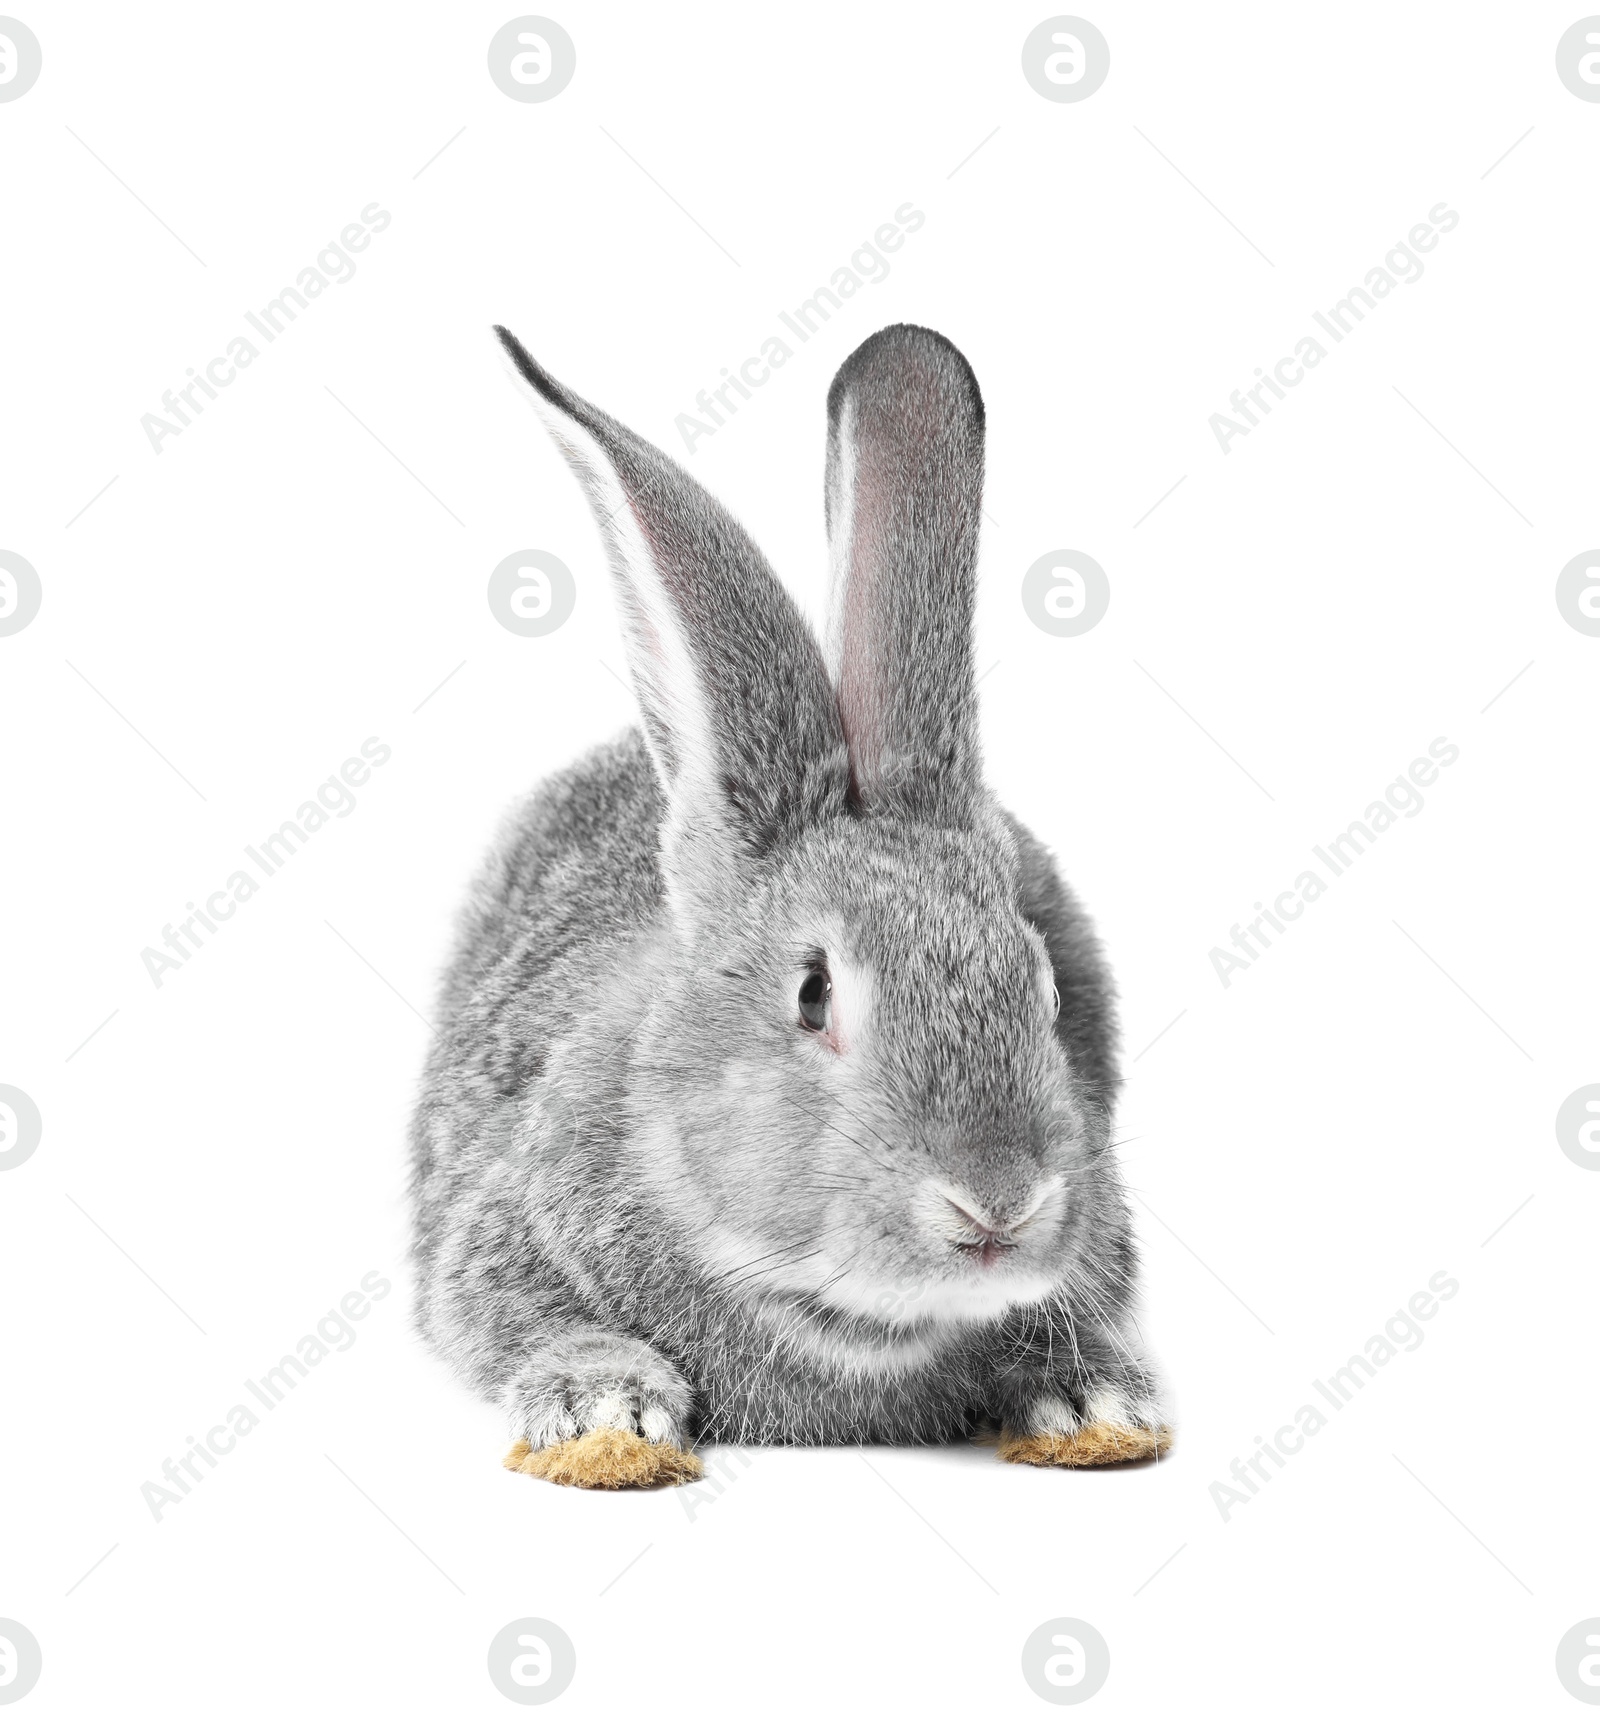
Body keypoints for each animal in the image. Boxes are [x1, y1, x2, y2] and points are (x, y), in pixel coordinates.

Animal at [406, 325, 1164, 1494]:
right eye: (812, 994)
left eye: (1042, 992)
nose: (998, 1201)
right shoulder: (494, 1244)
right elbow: (536, 1328)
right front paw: (607, 1420)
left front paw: (1090, 1405)